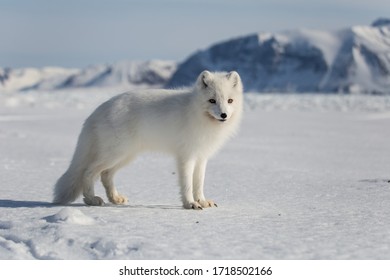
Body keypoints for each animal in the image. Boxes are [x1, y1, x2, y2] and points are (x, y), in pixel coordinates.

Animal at [53, 71, 242, 209]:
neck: (196, 114)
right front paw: (190, 203)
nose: (224, 115)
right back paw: (91, 200)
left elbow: (198, 183)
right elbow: (187, 183)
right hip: (116, 153)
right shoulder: (186, 156)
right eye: (212, 100)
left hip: (126, 156)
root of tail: (99, 110)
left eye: (230, 100)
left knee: (105, 174)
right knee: (88, 172)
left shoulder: (201, 156)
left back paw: (115, 199)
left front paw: (202, 201)